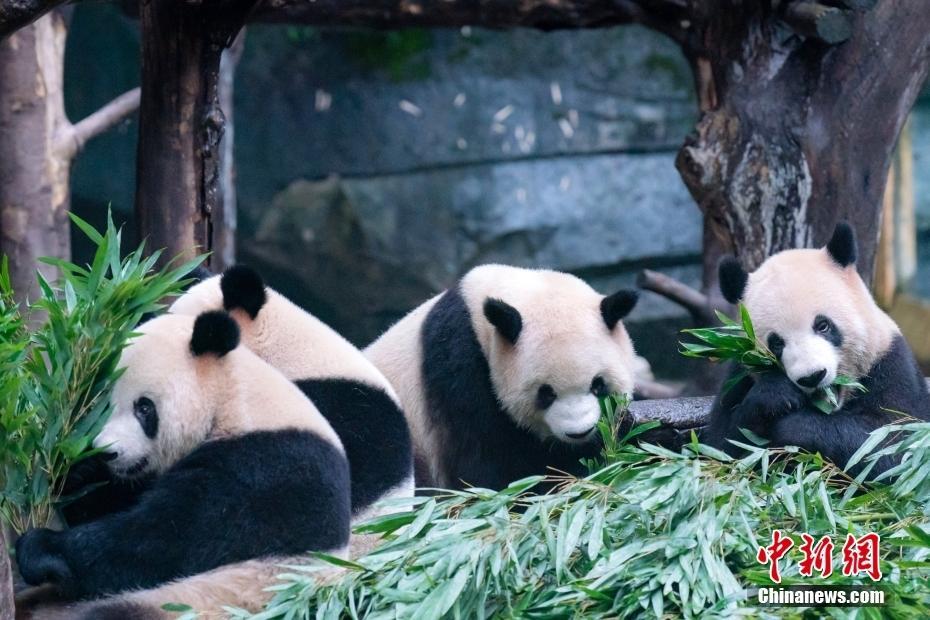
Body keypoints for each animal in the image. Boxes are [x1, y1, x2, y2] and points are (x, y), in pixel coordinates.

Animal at [16, 312, 350, 616]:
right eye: (102, 406)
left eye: (144, 408)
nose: (107, 452)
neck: (232, 398)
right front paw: (75, 469)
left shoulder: (264, 470)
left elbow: (164, 540)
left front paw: (41, 549)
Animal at [708, 222, 924, 474]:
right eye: (776, 343)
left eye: (823, 325)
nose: (812, 376)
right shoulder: (739, 376)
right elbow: (719, 448)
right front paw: (775, 395)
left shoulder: (890, 363)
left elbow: (893, 444)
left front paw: (792, 427)